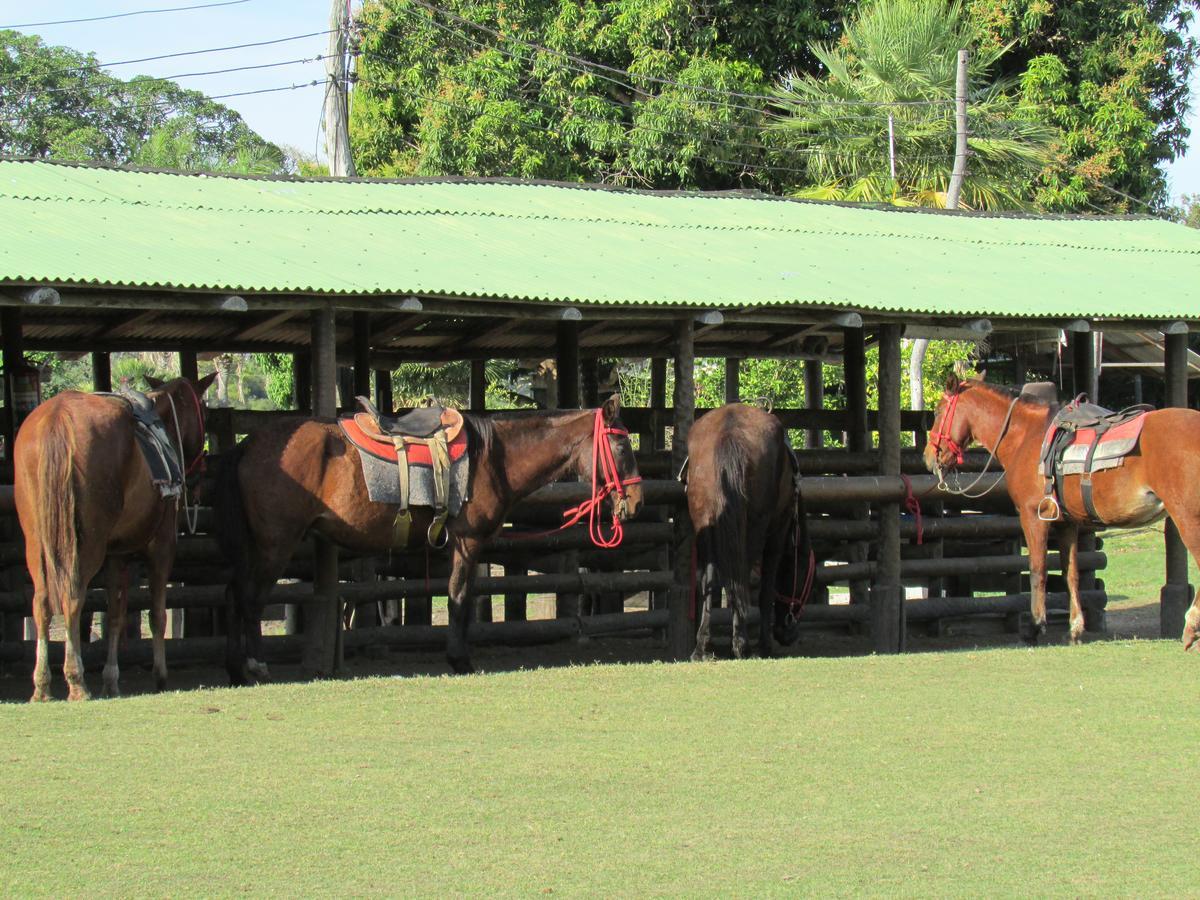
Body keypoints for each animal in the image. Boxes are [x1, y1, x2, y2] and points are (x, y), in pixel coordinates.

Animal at [13, 374, 216, 705]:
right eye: (206, 414)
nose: (199, 472)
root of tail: (58, 416)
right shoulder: (162, 547)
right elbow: (157, 614)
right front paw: (160, 675)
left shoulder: (117, 555)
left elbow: (116, 616)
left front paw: (111, 679)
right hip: (87, 545)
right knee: (73, 597)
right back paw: (76, 680)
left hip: (37, 541)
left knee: (41, 602)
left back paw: (42, 685)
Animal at [213, 393, 648, 681]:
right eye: (622, 444)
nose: (636, 502)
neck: (494, 459)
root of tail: (249, 445)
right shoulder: (467, 541)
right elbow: (459, 595)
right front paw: (459, 660)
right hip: (275, 543)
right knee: (251, 598)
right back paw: (256, 666)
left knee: (233, 593)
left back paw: (236, 669)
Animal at [686, 405, 816, 657]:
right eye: (808, 576)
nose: (788, 634)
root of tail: (729, 432)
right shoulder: (778, 531)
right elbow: (766, 588)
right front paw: (764, 644)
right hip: (755, 527)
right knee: (743, 577)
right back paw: (742, 643)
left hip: (704, 525)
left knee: (709, 579)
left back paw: (703, 646)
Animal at [921, 374, 1200, 648]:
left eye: (938, 411)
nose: (928, 457)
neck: (1026, 436)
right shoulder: (1067, 523)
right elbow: (1071, 574)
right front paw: (1074, 629)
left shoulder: (1033, 516)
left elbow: (1038, 570)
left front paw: (1035, 627)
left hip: (1186, 517)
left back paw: (1190, 627)